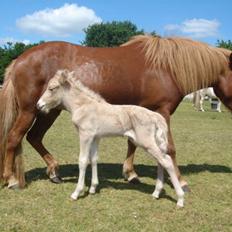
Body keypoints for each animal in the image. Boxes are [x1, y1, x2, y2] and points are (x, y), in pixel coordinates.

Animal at [0, 35, 232, 190]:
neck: (165, 67)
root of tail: (19, 60)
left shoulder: (137, 113)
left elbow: (132, 143)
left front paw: (130, 174)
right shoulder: (162, 112)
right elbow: (170, 149)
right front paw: (181, 181)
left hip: (48, 111)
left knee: (34, 137)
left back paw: (54, 172)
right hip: (30, 110)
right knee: (13, 138)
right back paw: (11, 179)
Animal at [36, 70, 185, 208]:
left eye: (52, 88)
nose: (39, 105)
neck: (83, 106)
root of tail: (155, 116)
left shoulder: (85, 135)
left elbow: (83, 161)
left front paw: (76, 193)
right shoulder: (95, 137)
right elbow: (93, 159)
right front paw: (93, 188)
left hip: (146, 142)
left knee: (167, 161)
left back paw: (180, 199)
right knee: (160, 161)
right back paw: (156, 193)